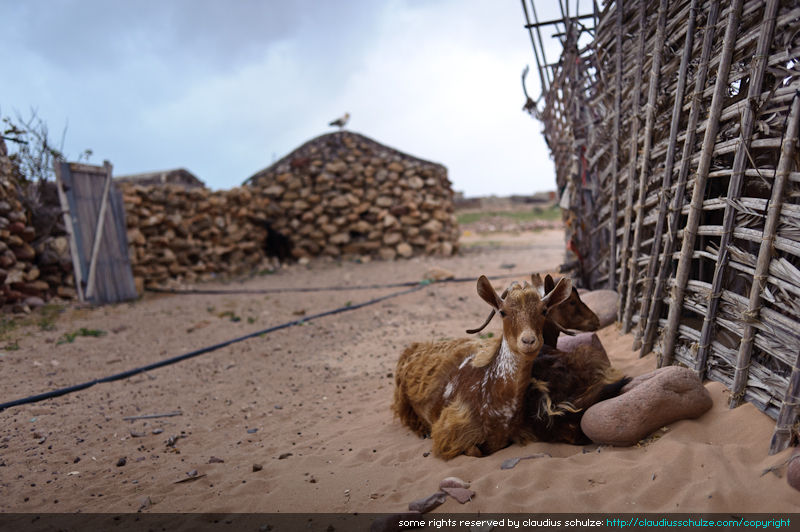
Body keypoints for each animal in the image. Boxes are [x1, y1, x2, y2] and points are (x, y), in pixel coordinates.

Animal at [392, 274, 572, 459]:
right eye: (503, 312)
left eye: (544, 310)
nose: (528, 341)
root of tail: (412, 348)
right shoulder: (449, 433)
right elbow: (475, 451)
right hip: (403, 400)